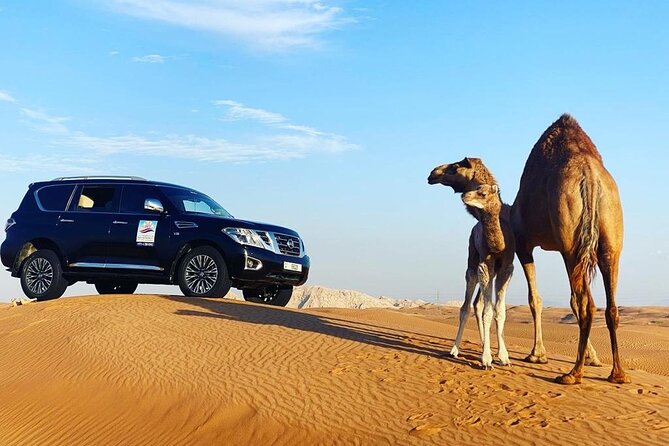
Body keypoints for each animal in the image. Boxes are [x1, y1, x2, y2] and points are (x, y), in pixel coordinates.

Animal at [459, 184, 515, 368]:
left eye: (482, 193)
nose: (464, 195)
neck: (498, 246)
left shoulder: (507, 268)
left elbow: (499, 311)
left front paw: (504, 357)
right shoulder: (485, 265)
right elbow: (488, 312)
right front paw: (486, 360)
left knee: (478, 303)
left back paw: (485, 344)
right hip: (472, 262)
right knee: (466, 306)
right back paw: (454, 350)